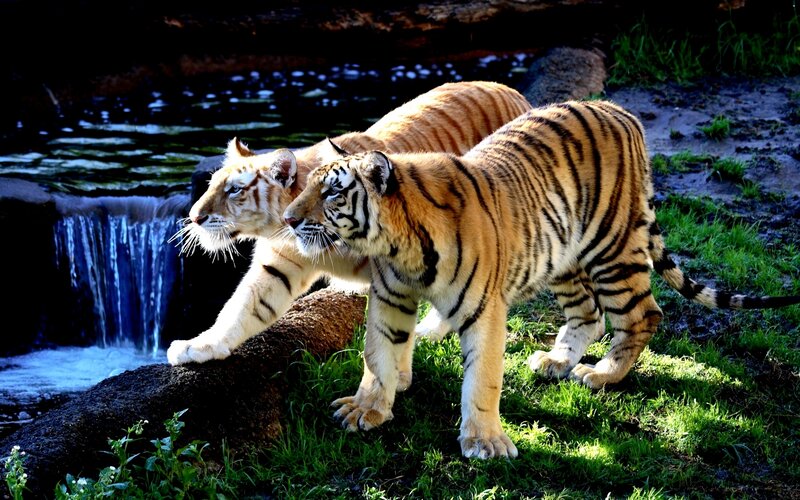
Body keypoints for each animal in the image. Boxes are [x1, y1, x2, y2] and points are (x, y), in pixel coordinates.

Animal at [166, 81, 532, 372]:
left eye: (234, 190)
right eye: (212, 184)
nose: (194, 217)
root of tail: (513, 92)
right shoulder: (278, 265)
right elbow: (240, 307)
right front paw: (197, 346)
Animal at [282, 99, 800, 459]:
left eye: (331, 193)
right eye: (309, 186)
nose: (288, 219)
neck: (399, 247)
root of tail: (624, 113)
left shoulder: (485, 311)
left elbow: (483, 379)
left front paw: (485, 442)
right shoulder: (391, 297)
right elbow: (379, 355)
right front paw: (367, 408)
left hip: (612, 249)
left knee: (642, 315)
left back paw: (601, 374)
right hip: (564, 258)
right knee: (589, 315)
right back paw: (556, 362)